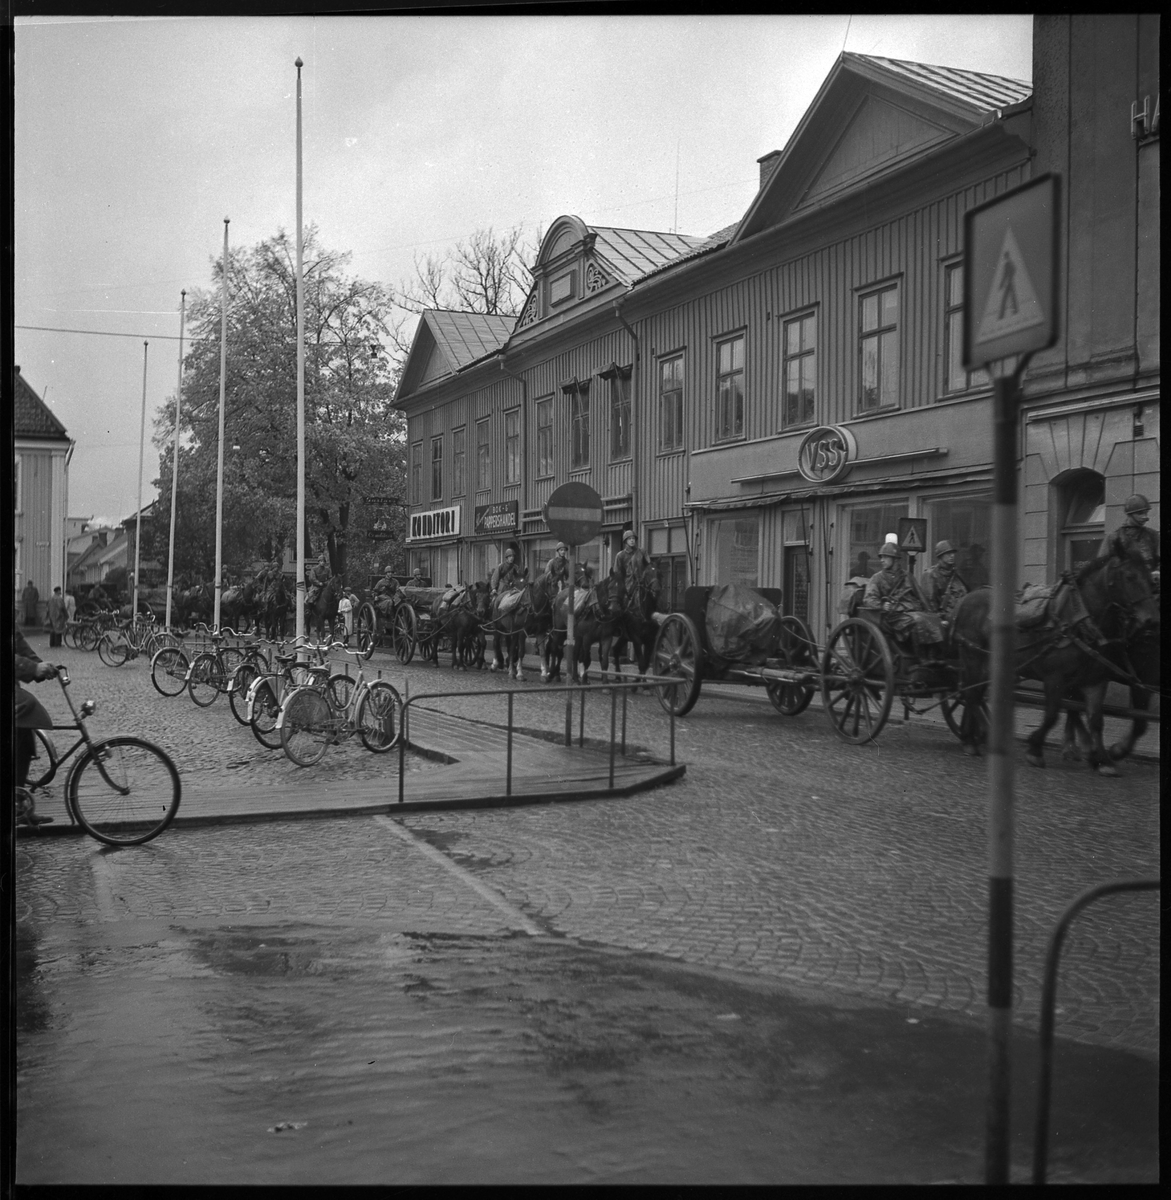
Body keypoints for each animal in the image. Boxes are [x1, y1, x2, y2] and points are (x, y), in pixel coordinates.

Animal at [950, 549, 1161, 772]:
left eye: (1150, 580)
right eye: (1130, 577)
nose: (1152, 620)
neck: (1079, 620)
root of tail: (966, 598)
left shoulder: (1096, 680)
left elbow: (1096, 719)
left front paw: (1105, 760)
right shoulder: (1055, 677)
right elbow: (1052, 714)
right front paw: (1035, 749)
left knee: (974, 695)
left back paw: (971, 739)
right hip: (974, 658)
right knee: (971, 695)